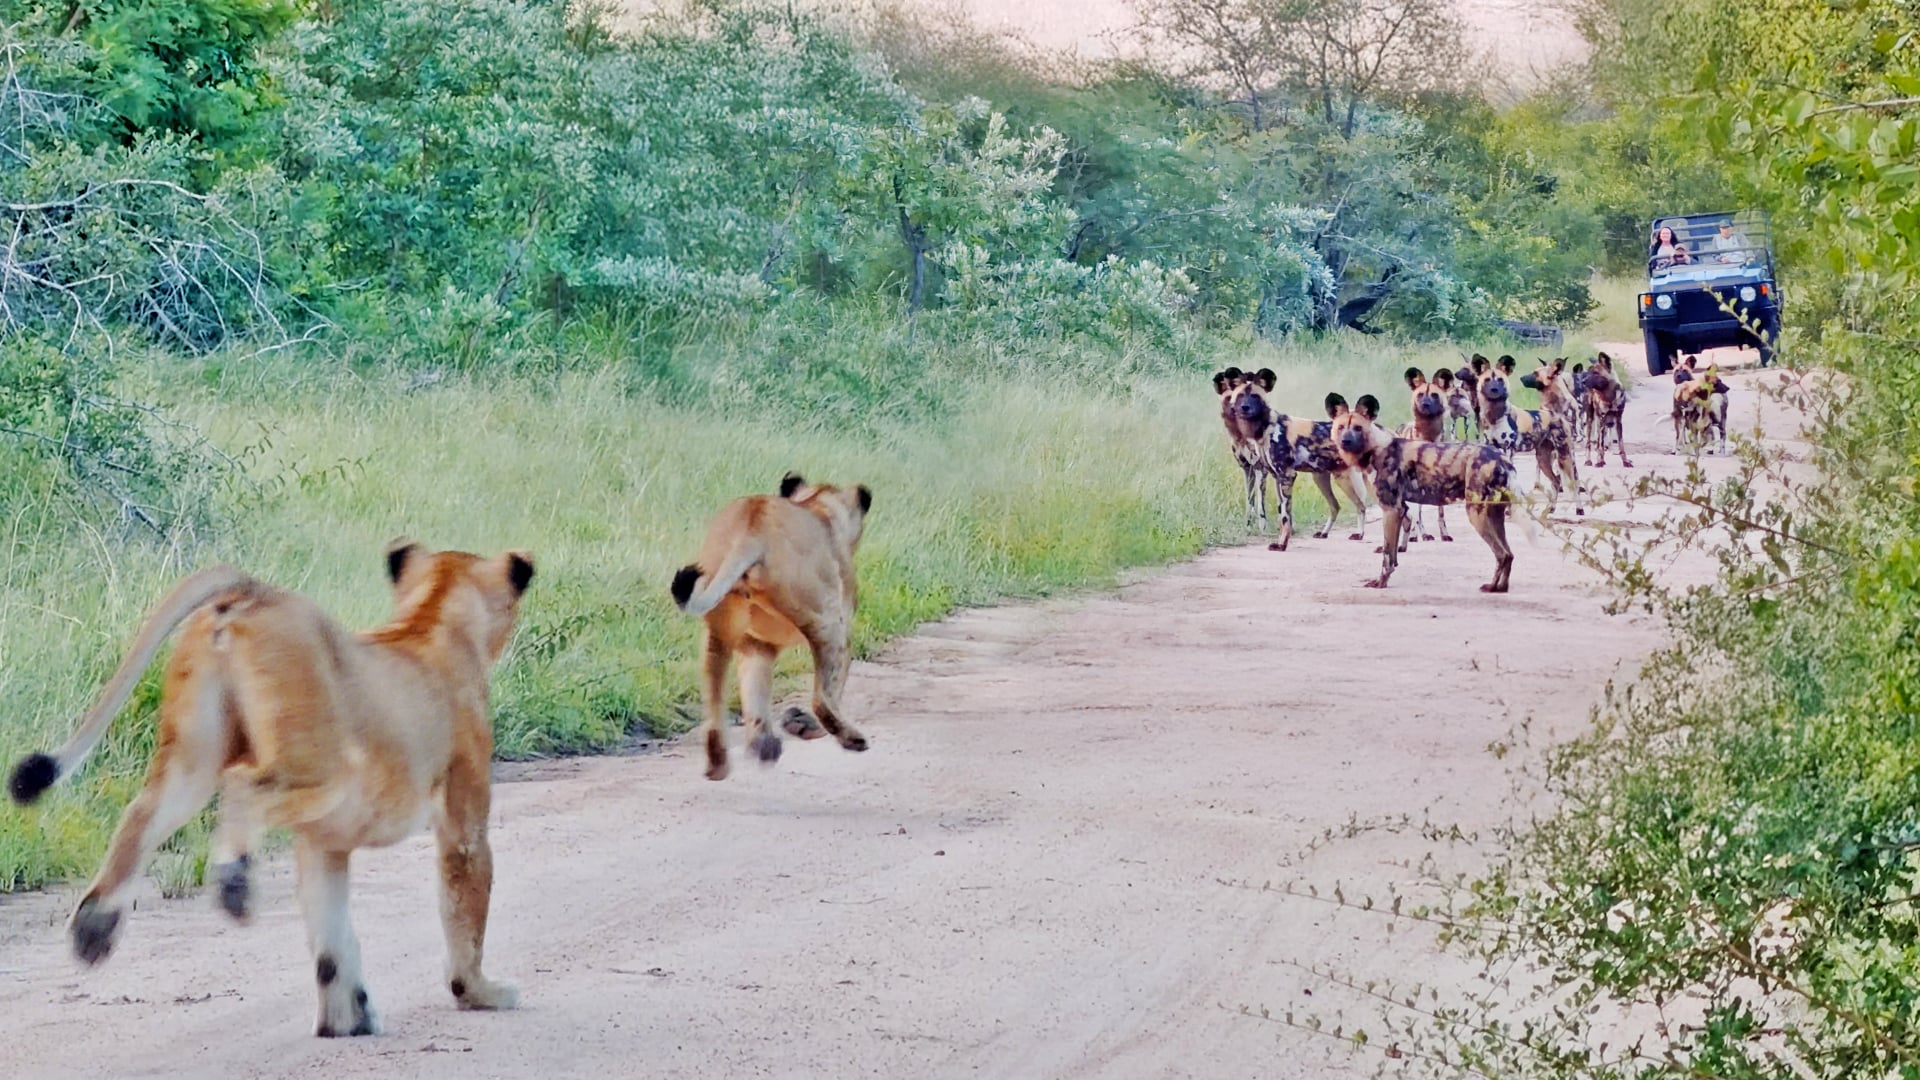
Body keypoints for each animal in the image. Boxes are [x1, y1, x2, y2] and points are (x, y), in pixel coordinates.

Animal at [7, 540, 534, 1037]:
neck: (434, 616)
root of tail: (253, 591)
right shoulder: (462, 818)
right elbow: (465, 905)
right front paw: (481, 992)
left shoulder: (326, 841)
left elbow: (331, 931)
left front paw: (344, 1021)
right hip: (324, 764)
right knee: (241, 784)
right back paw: (233, 885)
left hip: (193, 752)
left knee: (142, 814)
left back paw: (94, 929)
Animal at [671, 473, 872, 781]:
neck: (818, 504)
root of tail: (752, 528)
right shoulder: (843, 622)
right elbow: (834, 686)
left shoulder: (757, 644)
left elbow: (755, 688)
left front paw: (764, 742)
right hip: (827, 619)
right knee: (822, 699)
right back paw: (847, 737)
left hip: (718, 629)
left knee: (714, 700)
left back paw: (725, 762)